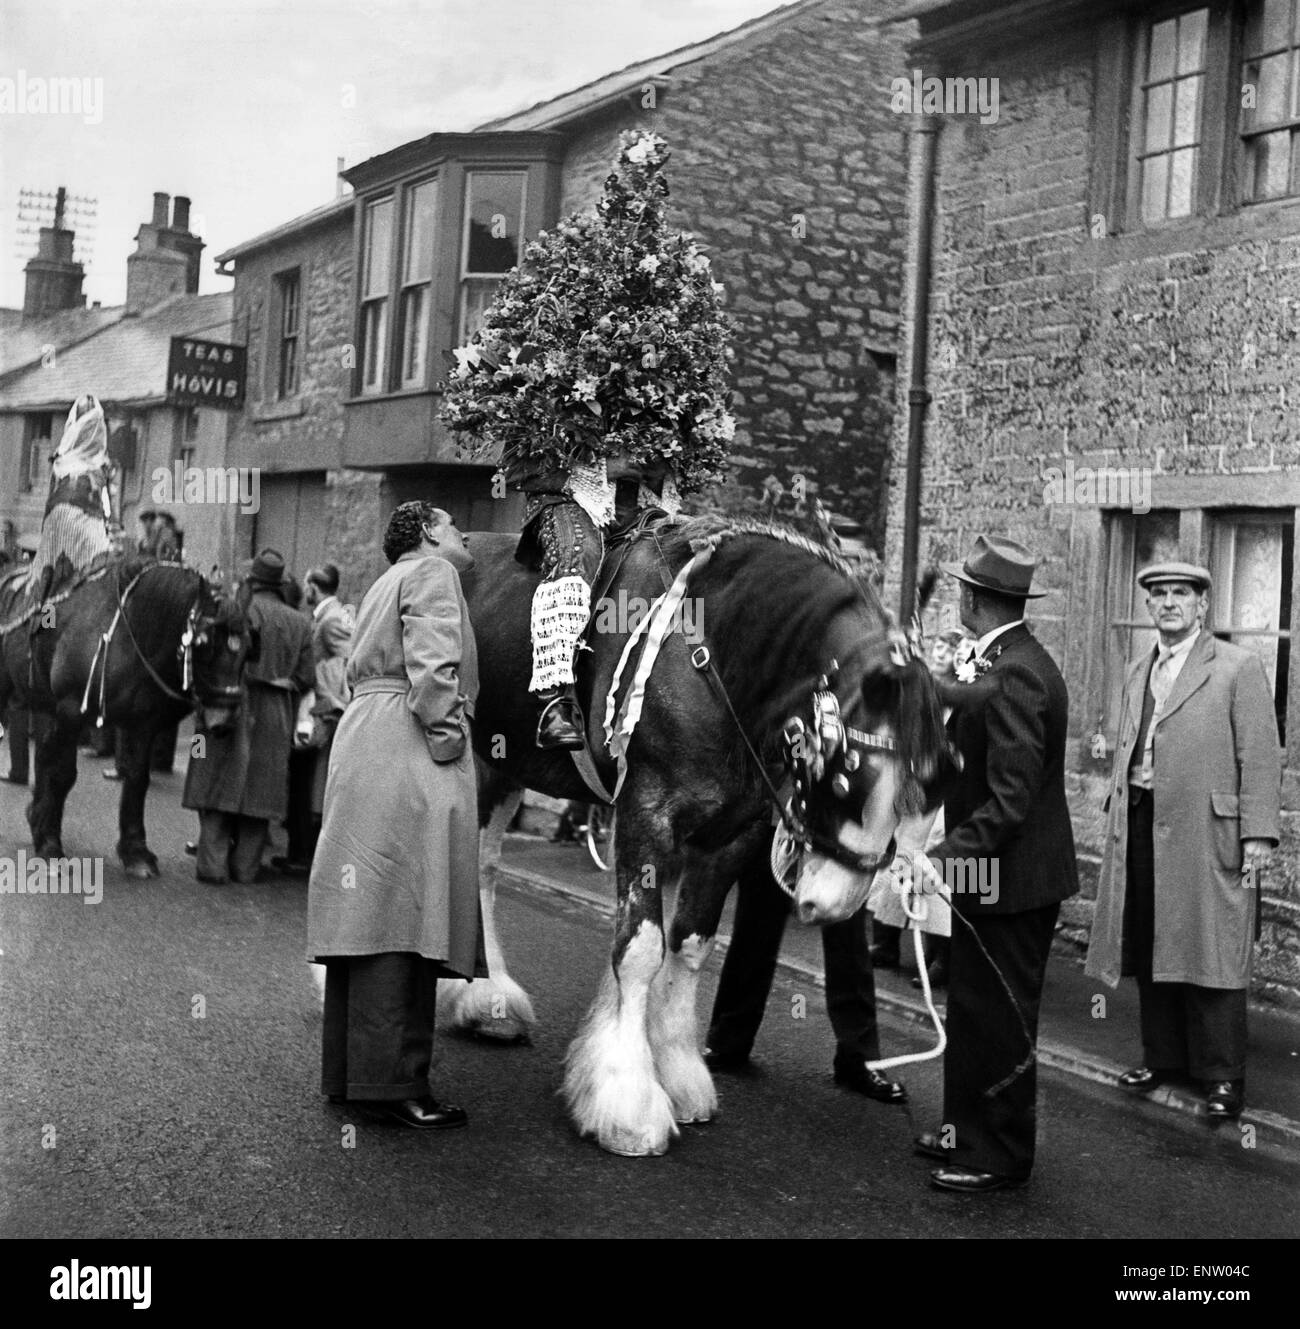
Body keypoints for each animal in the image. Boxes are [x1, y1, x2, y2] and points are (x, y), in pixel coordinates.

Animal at [0, 555, 248, 877]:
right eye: (205, 643)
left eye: (248, 647)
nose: (223, 717)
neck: (133, 632)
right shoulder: (70, 712)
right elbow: (61, 774)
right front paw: (50, 845)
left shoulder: (140, 724)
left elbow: (136, 778)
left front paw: (135, 851)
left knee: (43, 753)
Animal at [459, 512, 951, 1158]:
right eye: (845, 772)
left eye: (928, 785)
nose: (834, 904)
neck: (714, 656)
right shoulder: (645, 815)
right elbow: (641, 950)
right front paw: (626, 1103)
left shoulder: (729, 837)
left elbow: (690, 945)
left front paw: (676, 1073)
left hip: (505, 763)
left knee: (484, 865)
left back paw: (488, 1000)